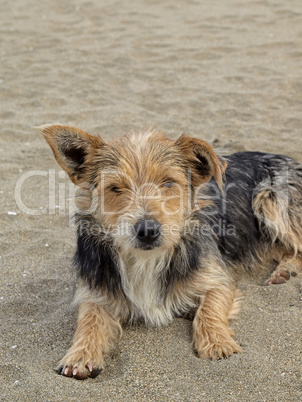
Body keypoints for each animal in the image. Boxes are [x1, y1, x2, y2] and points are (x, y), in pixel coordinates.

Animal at [40, 125, 302, 380]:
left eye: (167, 183)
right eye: (115, 187)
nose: (147, 230)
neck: (146, 260)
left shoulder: (218, 277)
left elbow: (210, 308)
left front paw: (217, 342)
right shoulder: (96, 290)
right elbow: (88, 320)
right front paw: (79, 355)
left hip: (273, 198)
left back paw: (286, 270)